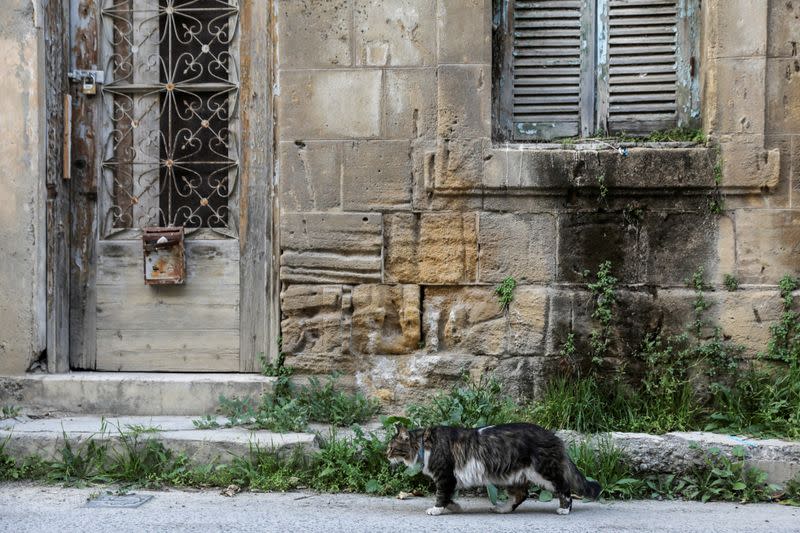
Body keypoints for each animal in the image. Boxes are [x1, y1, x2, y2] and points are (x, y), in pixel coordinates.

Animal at [386, 422, 600, 512]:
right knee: (521, 495)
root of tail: (553, 436)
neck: (425, 444)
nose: (385, 455)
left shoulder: (445, 476)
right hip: (510, 476)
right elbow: (448, 497)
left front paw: (437, 509)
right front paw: (455, 507)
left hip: (543, 473)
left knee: (564, 488)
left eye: (391, 447)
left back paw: (565, 509)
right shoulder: (451, 480)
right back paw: (502, 509)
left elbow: (441, 496)